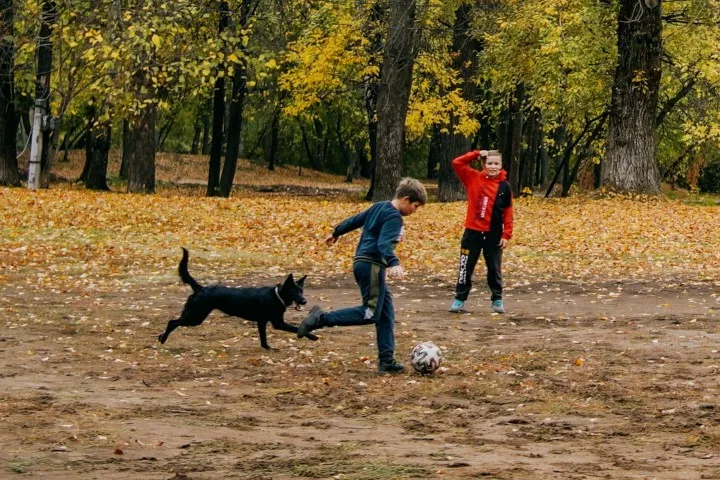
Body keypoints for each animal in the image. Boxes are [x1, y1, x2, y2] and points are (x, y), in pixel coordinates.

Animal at [159, 248, 320, 348]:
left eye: (301, 291)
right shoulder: (278, 323)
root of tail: (200, 288)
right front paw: (312, 336)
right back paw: (163, 338)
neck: (276, 295)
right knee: (172, 322)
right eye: (294, 292)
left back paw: (161, 337)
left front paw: (267, 348)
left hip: (193, 316)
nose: (304, 301)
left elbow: (263, 338)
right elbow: (297, 328)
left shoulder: (262, 322)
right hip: (195, 317)